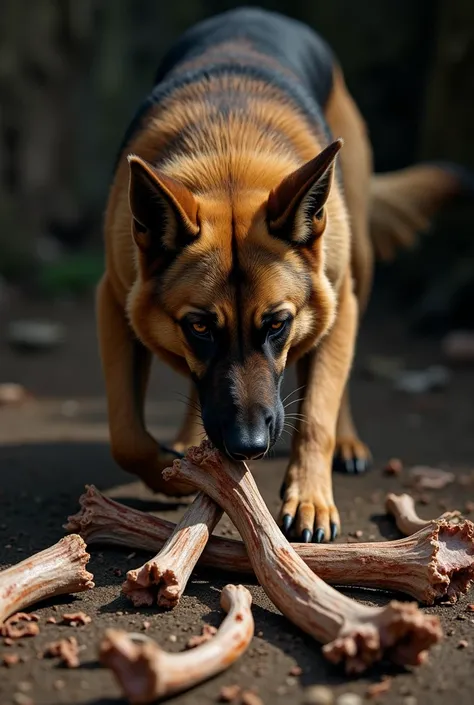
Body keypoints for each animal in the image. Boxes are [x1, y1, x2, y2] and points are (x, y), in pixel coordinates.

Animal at [98, 8, 464, 540]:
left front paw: (310, 497)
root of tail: (256, 13)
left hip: (357, 273)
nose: (247, 446)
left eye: (277, 324)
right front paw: (177, 471)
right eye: (199, 327)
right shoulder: (114, 301)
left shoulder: (336, 302)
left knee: (333, 380)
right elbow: (125, 433)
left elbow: (317, 416)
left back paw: (345, 444)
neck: (229, 160)